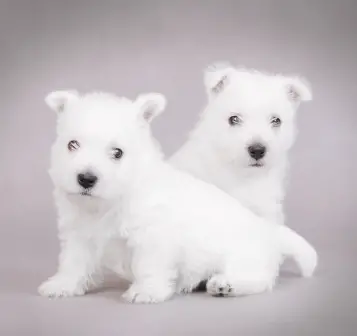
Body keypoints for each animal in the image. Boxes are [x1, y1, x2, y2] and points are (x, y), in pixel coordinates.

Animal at [38, 90, 318, 304]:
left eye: (117, 153)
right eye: (72, 145)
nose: (86, 178)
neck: (109, 202)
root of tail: (269, 231)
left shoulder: (152, 237)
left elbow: (149, 266)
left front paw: (146, 292)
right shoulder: (78, 234)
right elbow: (73, 262)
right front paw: (61, 285)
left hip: (245, 256)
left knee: (259, 278)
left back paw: (225, 284)